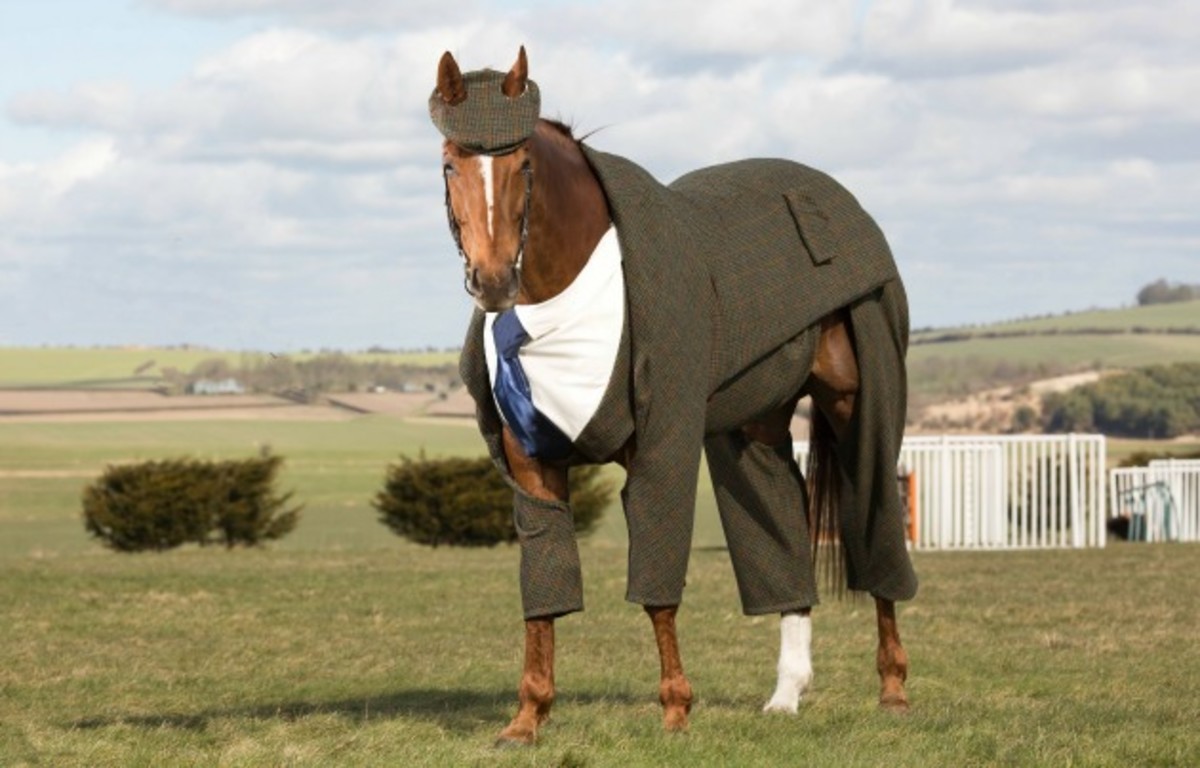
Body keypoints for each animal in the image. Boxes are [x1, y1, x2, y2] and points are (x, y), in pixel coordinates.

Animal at [436, 48, 912, 744]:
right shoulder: (531, 465)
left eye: (523, 164)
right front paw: (527, 718)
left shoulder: (659, 448)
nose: (494, 282)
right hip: (752, 429)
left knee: (874, 521)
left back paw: (894, 688)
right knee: (783, 527)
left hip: (860, 403)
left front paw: (675, 708)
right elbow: (544, 593)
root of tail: (835, 199)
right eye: (450, 163)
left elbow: (658, 587)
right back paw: (786, 695)